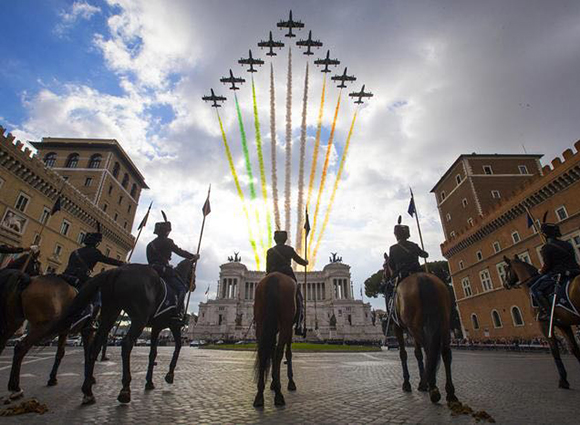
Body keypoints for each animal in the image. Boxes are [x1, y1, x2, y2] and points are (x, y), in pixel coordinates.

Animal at [0, 250, 94, 396]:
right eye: (37, 263)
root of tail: (29, 280)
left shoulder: (65, 330)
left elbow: (60, 353)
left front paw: (52, 378)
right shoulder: (88, 329)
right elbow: (88, 353)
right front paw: (90, 380)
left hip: (13, 322)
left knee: (4, 344)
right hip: (43, 325)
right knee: (21, 347)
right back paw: (15, 387)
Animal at [50, 256, 195, 402]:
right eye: (193, 272)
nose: (193, 286)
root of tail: (118, 271)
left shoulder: (156, 327)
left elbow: (153, 353)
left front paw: (149, 382)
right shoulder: (174, 325)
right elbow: (178, 346)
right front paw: (169, 375)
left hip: (111, 313)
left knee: (95, 345)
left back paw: (88, 390)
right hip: (139, 319)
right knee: (126, 344)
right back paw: (125, 389)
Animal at [253, 272, 296, 408]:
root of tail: (274, 277)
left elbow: (271, 351)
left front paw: (273, 381)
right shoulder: (289, 328)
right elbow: (287, 353)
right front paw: (289, 382)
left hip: (261, 323)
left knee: (262, 352)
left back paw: (259, 395)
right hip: (285, 324)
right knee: (279, 353)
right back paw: (278, 395)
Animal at [380, 253, 458, 402]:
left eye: (384, 265)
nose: (383, 281)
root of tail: (423, 279)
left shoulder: (398, 327)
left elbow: (403, 353)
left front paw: (408, 383)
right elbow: (418, 353)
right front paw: (422, 381)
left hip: (416, 326)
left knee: (429, 349)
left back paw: (433, 388)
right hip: (442, 325)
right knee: (444, 352)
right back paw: (449, 392)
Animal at [500, 255, 580, 388]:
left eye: (506, 269)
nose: (505, 284)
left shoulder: (544, 325)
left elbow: (555, 351)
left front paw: (563, 380)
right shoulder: (564, 324)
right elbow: (574, 348)